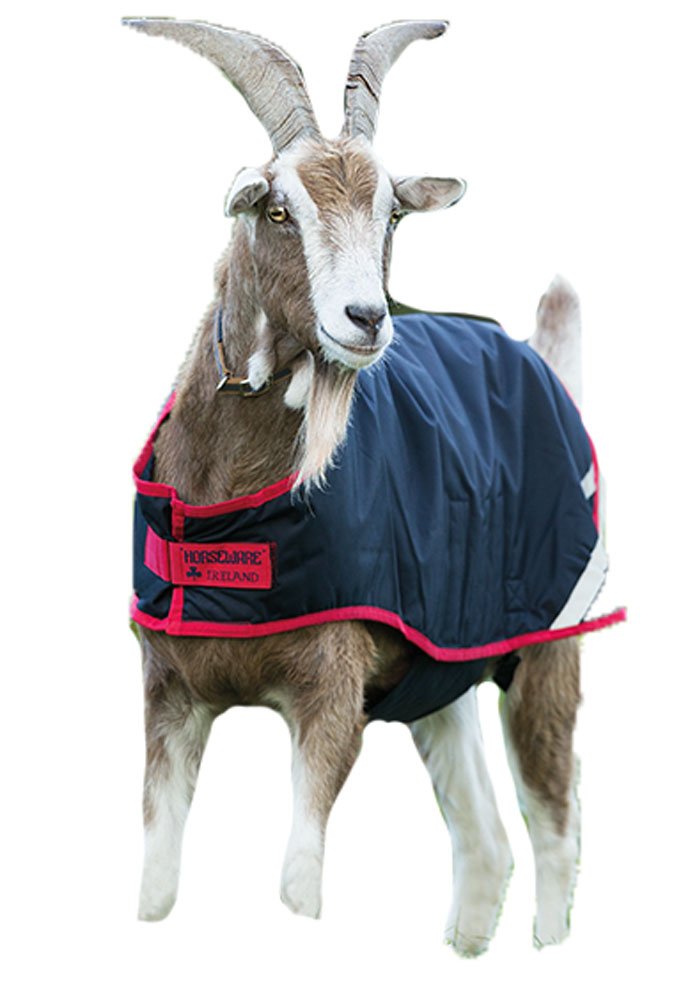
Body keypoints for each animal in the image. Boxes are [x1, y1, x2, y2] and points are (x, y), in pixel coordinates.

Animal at [123, 17, 624, 955]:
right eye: (278, 209)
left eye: (390, 211)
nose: (367, 319)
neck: (232, 516)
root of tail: (541, 360)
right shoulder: (168, 690)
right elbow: (157, 886)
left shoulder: (331, 687)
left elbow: (296, 884)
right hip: (442, 663)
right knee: (487, 839)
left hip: (550, 639)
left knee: (556, 823)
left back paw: (548, 946)